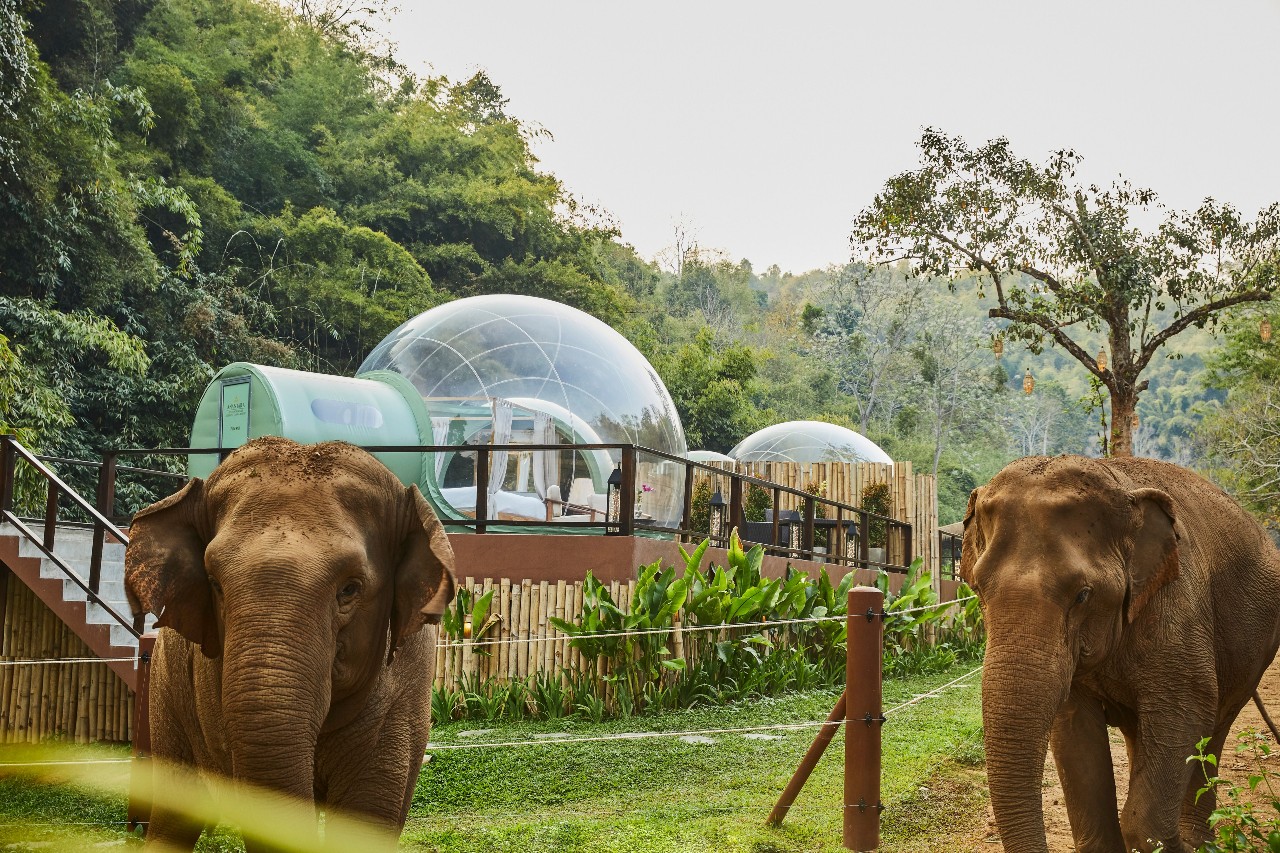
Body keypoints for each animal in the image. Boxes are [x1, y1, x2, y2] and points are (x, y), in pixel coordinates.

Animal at [124, 435, 455, 845]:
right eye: (215, 583)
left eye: (350, 589)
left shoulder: (406, 686)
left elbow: (366, 819)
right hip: (165, 690)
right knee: (175, 813)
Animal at [962, 455, 1280, 850]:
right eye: (978, 589)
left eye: (1083, 595)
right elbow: (1074, 729)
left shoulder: (1178, 604)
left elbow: (1187, 707)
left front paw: (1165, 840)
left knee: (1216, 726)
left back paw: (1197, 842)